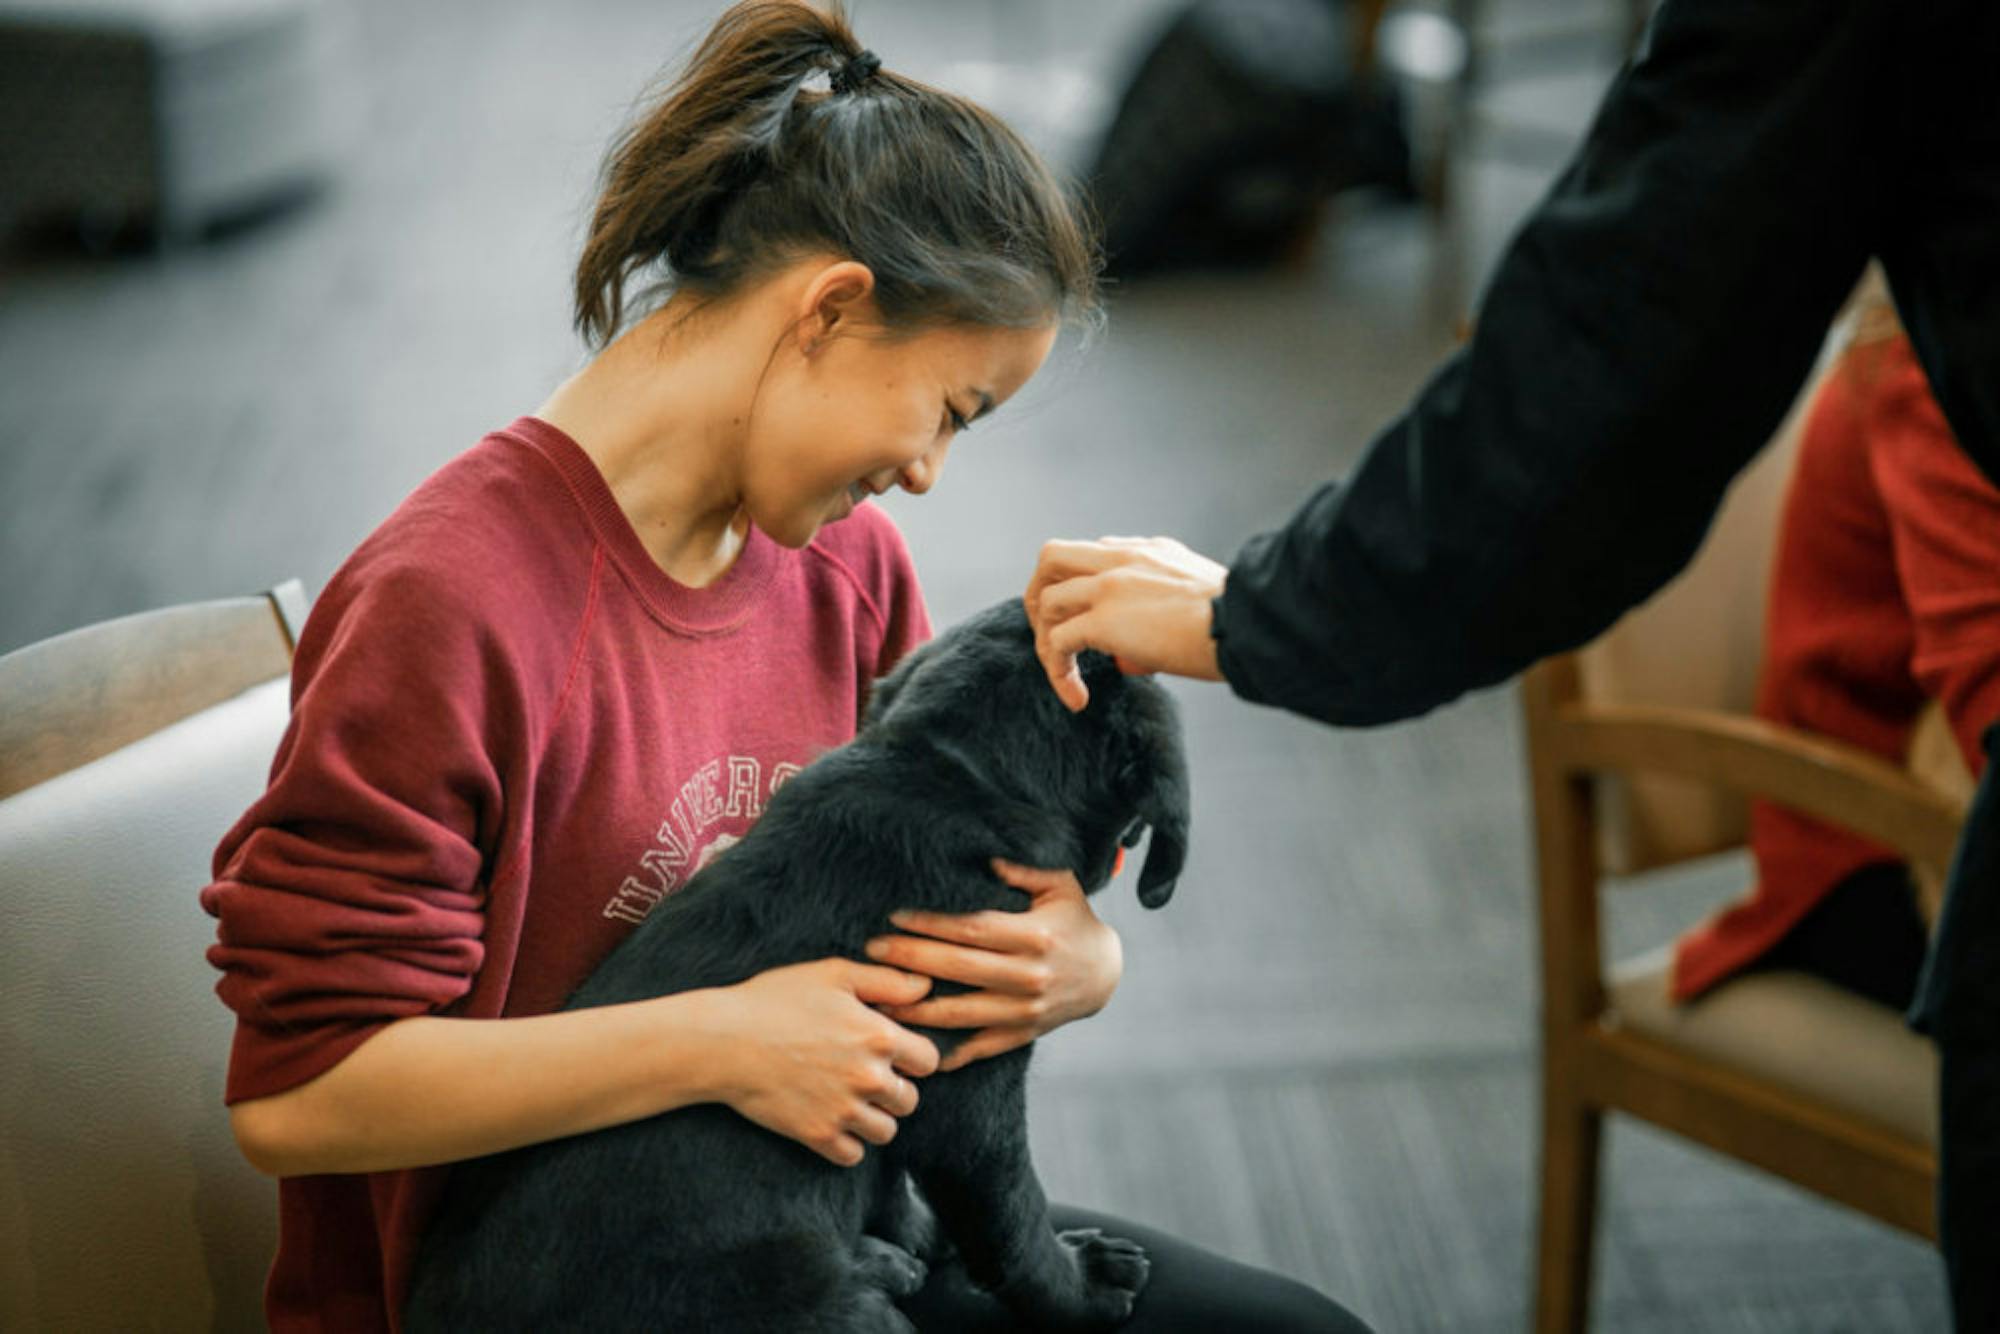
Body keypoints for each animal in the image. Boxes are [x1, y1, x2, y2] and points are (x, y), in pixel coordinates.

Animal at [406, 604, 1184, 1334]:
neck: (948, 770)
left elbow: (887, 1168)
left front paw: (913, 1236)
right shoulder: (973, 1090)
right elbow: (1014, 1217)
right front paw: (1080, 1288)